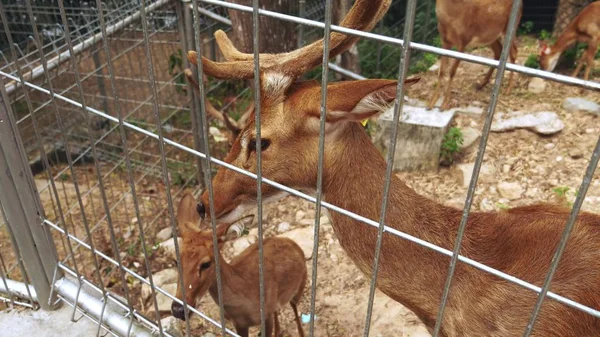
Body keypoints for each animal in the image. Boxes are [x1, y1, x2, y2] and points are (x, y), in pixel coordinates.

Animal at [170, 192, 308, 336]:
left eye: (206, 263)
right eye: (175, 260)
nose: (178, 310)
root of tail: (292, 243)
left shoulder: (266, 316)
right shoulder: (239, 324)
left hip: (300, 284)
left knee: (294, 307)